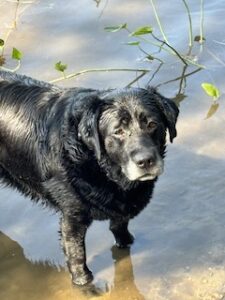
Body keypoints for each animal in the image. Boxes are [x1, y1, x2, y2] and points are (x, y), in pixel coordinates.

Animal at [0, 69, 179, 284]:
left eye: (152, 124)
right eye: (118, 131)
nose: (145, 161)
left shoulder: (121, 208)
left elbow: (120, 228)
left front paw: (127, 243)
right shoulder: (72, 218)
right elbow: (77, 256)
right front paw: (83, 282)